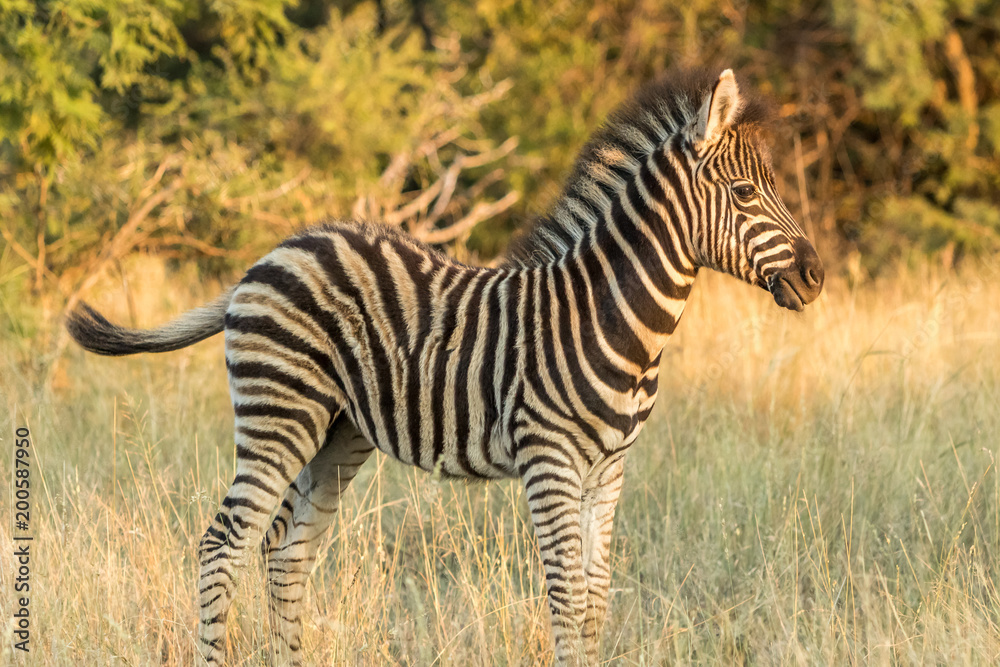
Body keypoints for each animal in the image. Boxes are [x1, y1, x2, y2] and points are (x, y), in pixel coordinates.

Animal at [67, 67, 824, 666]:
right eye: (747, 195)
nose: (815, 276)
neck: (612, 316)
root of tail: (270, 255)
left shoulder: (609, 470)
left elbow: (595, 599)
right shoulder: (549, 461)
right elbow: (565, 595)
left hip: (338, 434)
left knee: (285, 552)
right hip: (279, 415)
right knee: (223, 544)